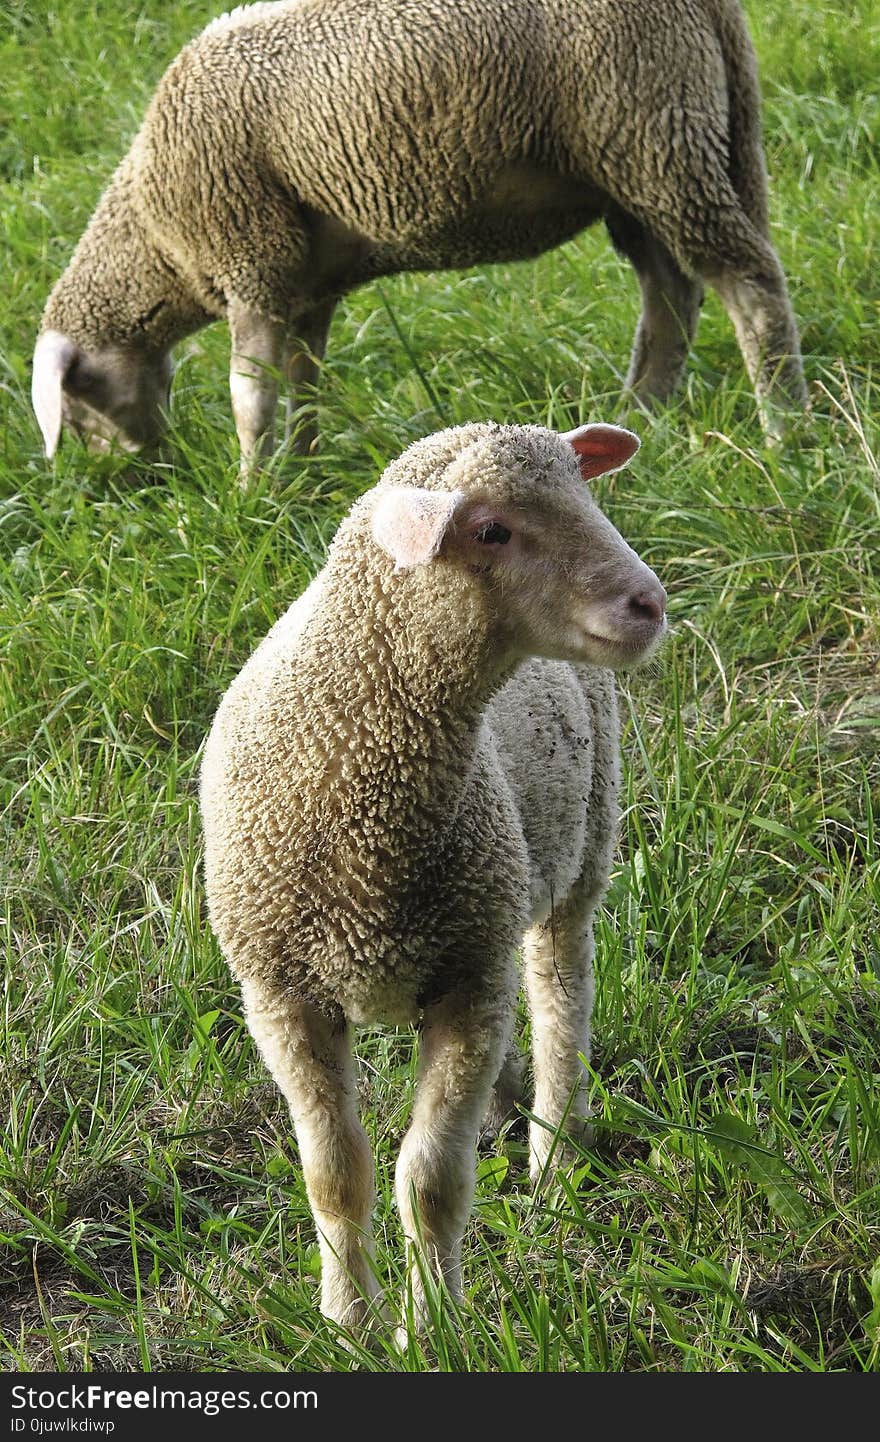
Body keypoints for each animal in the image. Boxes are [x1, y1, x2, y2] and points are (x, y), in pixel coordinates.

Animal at [34, 0, 802, 470]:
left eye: (77, 402)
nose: (144, 475)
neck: (153, 238)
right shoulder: (306, 284)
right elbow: (305, 381)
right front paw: (303, 468)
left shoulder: (252, 259)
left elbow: (250, 399)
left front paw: (251, 489)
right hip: (645, 165)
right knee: (670, 295)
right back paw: (640, 415)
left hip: (654, 132)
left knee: (748, 285)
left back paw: (784, 428)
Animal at [199, 421, 663, 1338]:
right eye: (491, 531)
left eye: (585, 493)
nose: (650, 604)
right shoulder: (281, 995)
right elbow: (335, 1175)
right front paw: (347, 1320)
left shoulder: (467, 981)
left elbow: (431, 1181)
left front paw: (433, 1325)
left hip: (579, 847)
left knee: (561, 995)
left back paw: (555, 1152)